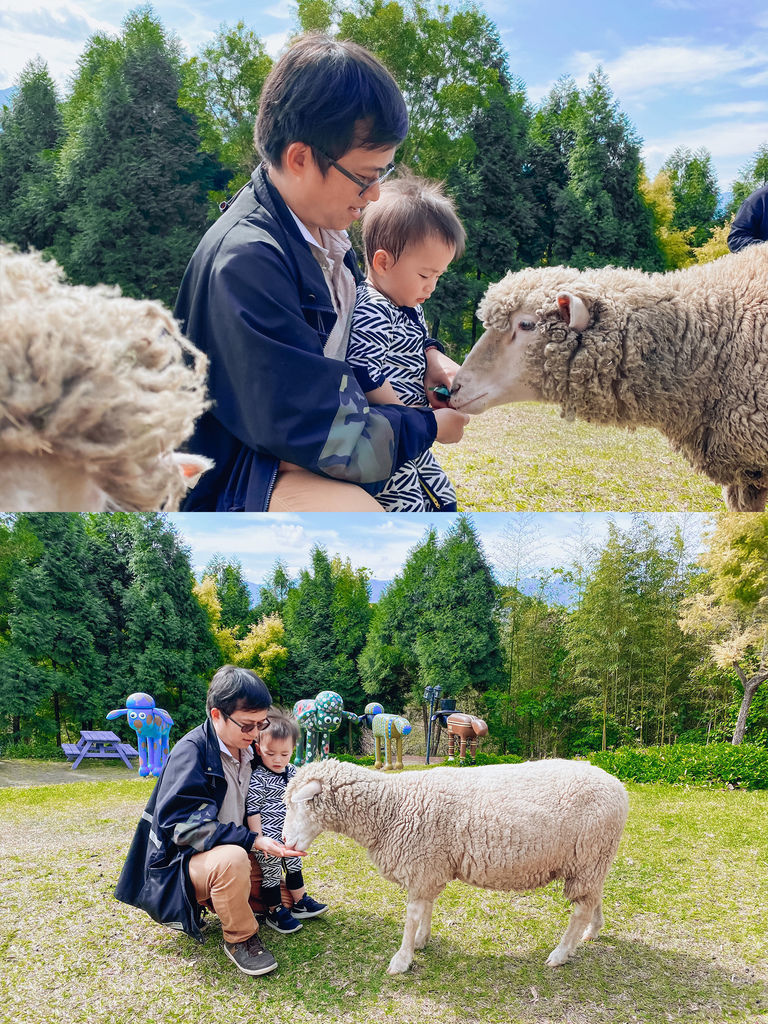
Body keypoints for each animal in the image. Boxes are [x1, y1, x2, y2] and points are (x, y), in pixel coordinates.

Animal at [284, 757, 630, 970]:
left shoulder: (420, 864)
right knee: (594, 898)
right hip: (594, 860)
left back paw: (560, 954)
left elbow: (411, 916)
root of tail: (618, 786)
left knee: (580, 908)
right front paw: (421, 941)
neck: (390, 808)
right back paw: (591, 932)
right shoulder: (429, 866)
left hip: (589, 854)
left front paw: (402, 958)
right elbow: (426, 909)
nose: (285, 842)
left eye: (297, 805)